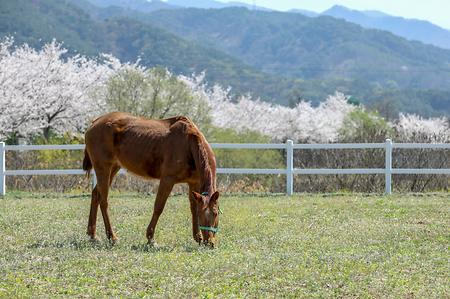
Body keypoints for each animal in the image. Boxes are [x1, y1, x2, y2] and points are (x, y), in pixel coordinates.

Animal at [83, 112, 221, 248]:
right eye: (202, 214)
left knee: (96, 194)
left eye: (216, 213)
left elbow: (193, 207)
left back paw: (93, 235)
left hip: (113, 167)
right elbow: (159, 207)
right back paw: (112, 237)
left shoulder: (193, 182)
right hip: (103, 168)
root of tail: (95, 122)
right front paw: (151, 239)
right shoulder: (167, 180)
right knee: (103, 201)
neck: (189, 143)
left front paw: (197, 237)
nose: (210, 243)